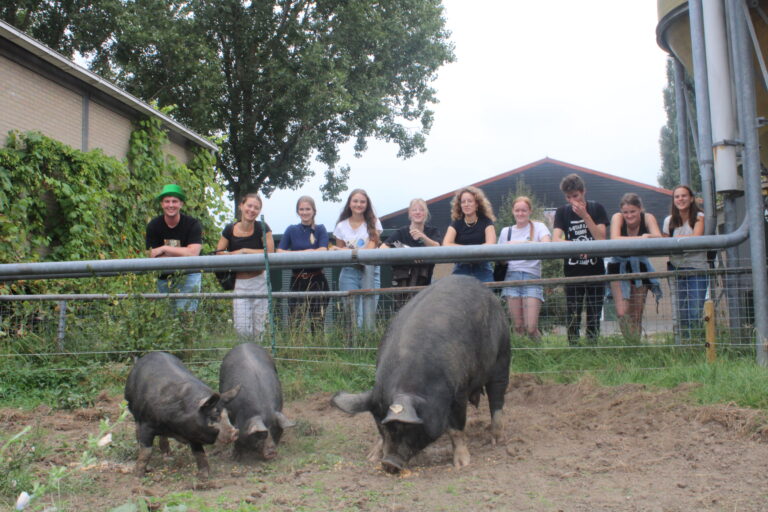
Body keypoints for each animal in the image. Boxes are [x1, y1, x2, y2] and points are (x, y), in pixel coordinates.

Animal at [124, 350, 240, 478]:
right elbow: (146, 451)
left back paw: (168, 456)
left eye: (228, 414)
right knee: (138, 431)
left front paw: (205, 475)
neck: (177, 428)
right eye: (214, 415)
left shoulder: (194, 431)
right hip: (133, 408)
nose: (235, 432)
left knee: (162, 437)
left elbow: (199, 453)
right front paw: (139, 474)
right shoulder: (147, 423)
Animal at [330, 274, 510, 474]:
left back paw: (496, 440)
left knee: (497, 399)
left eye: (405, 428)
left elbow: (456, 429)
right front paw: (371, 457)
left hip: (503, 356)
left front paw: (462, 464)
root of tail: (486, 290)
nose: (389, 463)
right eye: (382, 429)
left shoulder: (458, 393)